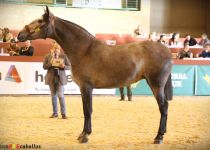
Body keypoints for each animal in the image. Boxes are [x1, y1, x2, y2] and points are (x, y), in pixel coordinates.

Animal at [17, 6, 172, 144]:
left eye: (40, 21)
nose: (19, 35)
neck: (84, 50)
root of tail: (167, 51)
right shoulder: (84, 88)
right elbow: (86, 110)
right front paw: (82, 134)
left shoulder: (86, 87)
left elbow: (87, 110)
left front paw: (85, 136)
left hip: (156, 84)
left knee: (163, 107)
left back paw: (158, 137)